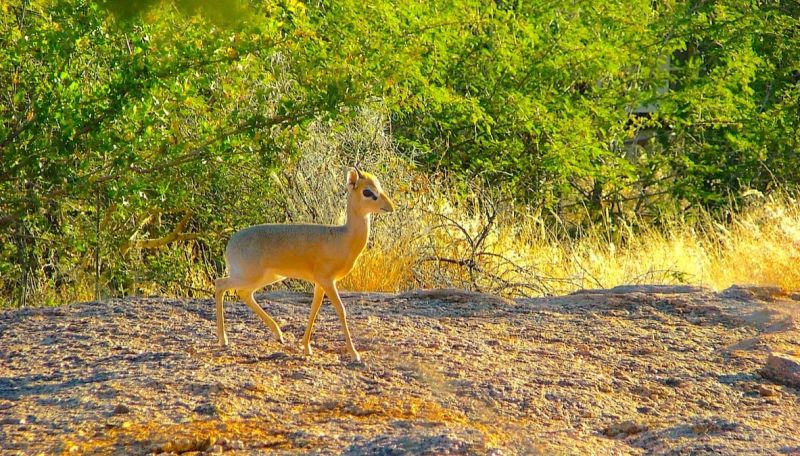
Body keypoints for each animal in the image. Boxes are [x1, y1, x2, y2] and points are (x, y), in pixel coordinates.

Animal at [214, 167, 396, 364]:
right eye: (367, 192)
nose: (391, 207)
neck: (343, 237)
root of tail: (230, 243)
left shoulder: (320, 284)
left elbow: (314, 310)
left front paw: (307, 347)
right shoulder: (328, 281)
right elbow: (341, 310)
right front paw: (354, 354)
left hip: (268, 277)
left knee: (244, 293)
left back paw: (279, 335)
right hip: (249, 276)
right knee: (220, 284)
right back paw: (224, 340)